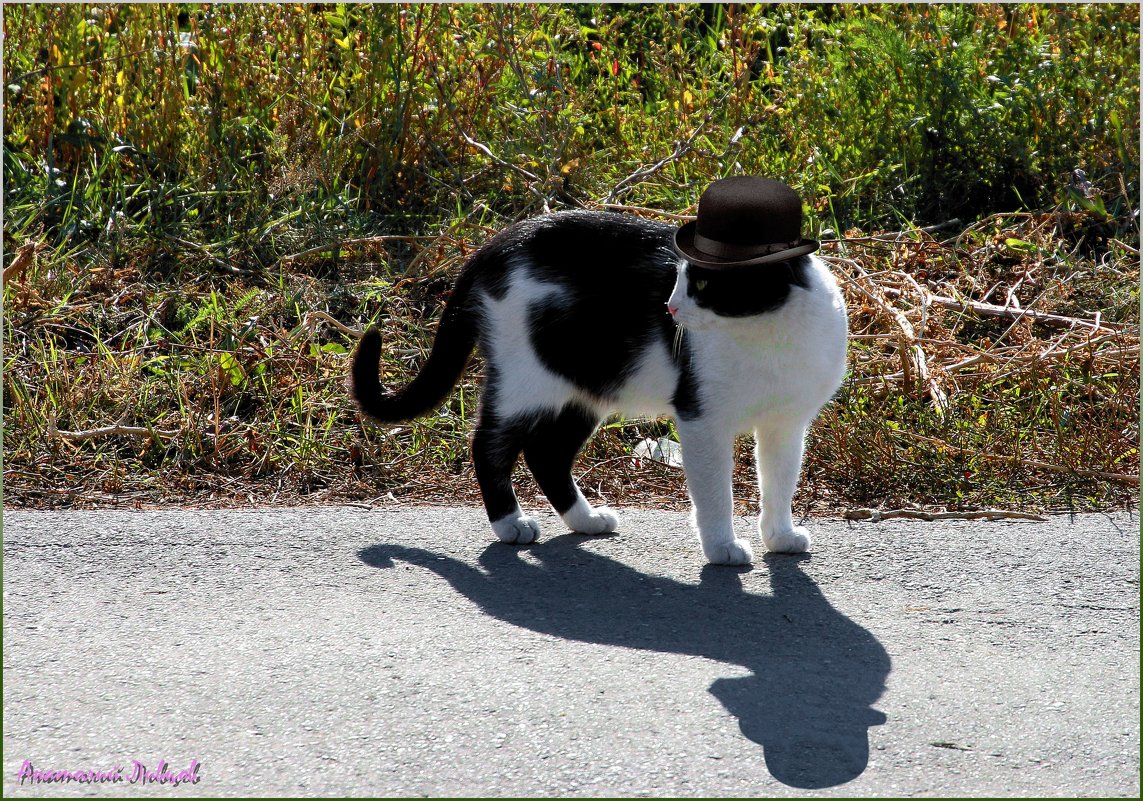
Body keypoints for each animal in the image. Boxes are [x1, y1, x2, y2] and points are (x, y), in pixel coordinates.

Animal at [354, 179, 850, 562]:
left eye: (705, 282)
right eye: (678, 279)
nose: (670, 308)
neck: (766, 334)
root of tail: (496, 243)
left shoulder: (786, 424)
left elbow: (779, 482)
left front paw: (779, 537)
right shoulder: (702, 420)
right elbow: (715, 493)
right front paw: (722, 548)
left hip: (584, 387)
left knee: (547, 453)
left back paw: (585, 519)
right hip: (526, 381)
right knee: (489, 445)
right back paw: (510, 523)